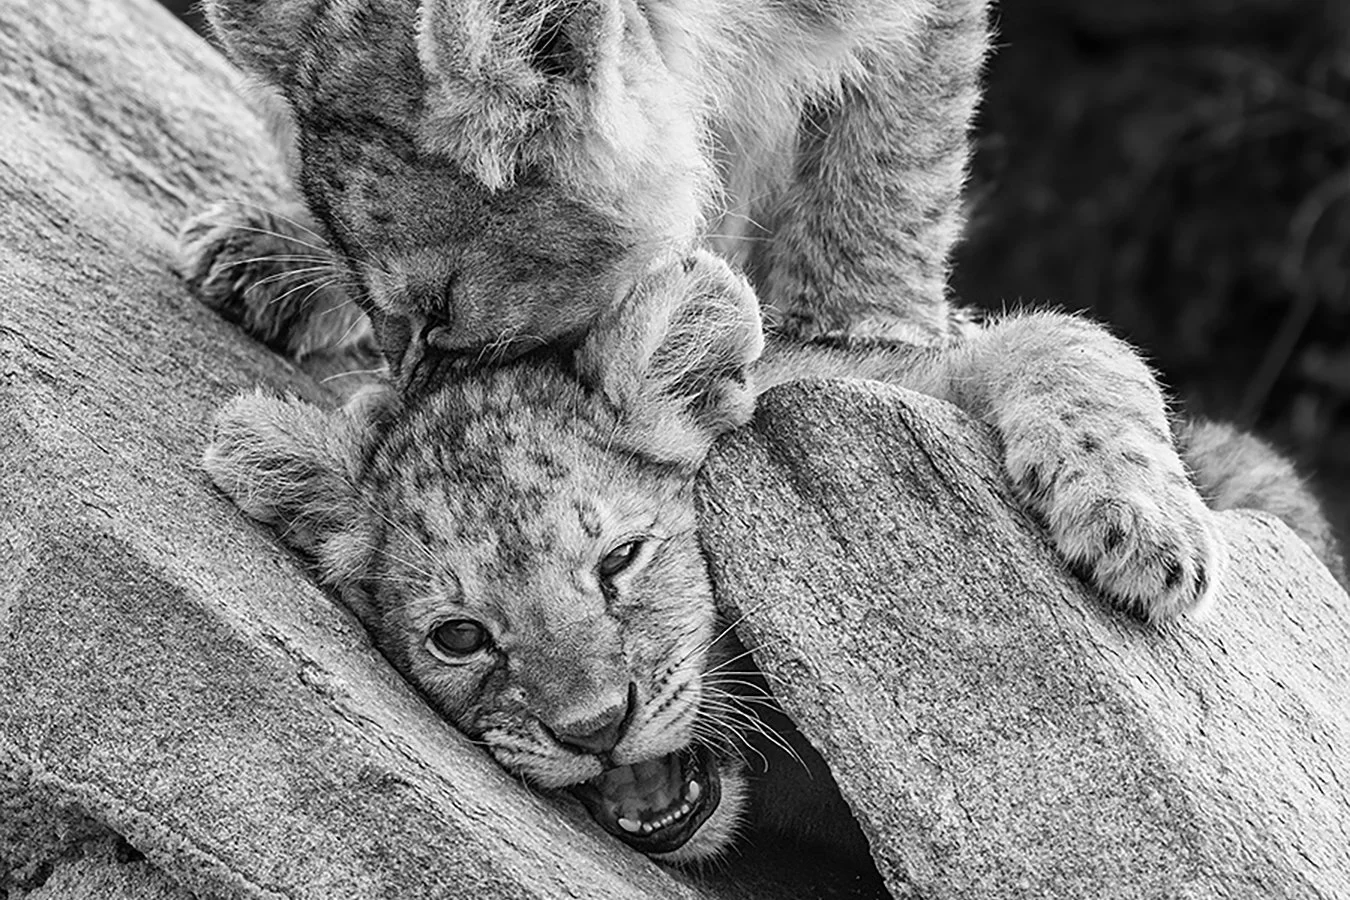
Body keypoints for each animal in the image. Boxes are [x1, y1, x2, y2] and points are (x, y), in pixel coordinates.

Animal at [200, 251, 1343, 864]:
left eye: (619, 562)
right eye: (459, 637)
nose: (594, 730)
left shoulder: (880, 374)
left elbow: (1064, 337)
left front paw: (1142, 531)